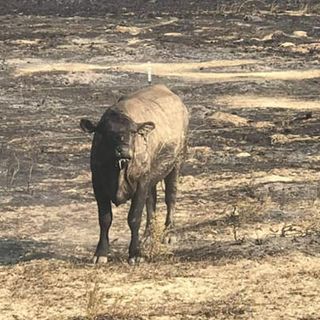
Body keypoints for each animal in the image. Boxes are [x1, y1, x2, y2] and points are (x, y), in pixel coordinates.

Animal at [80, 84, 189, 264]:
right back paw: (148, 236)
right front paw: (101, 253)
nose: (123, 150)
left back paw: (169, 233)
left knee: (170, 198)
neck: (118, 169)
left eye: (132, 132)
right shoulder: (98, 185)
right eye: (106, 132)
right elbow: (105, 219)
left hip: (176, 163)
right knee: (151, 202)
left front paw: (135, 253)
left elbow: (134, 217)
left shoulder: (141, 183)